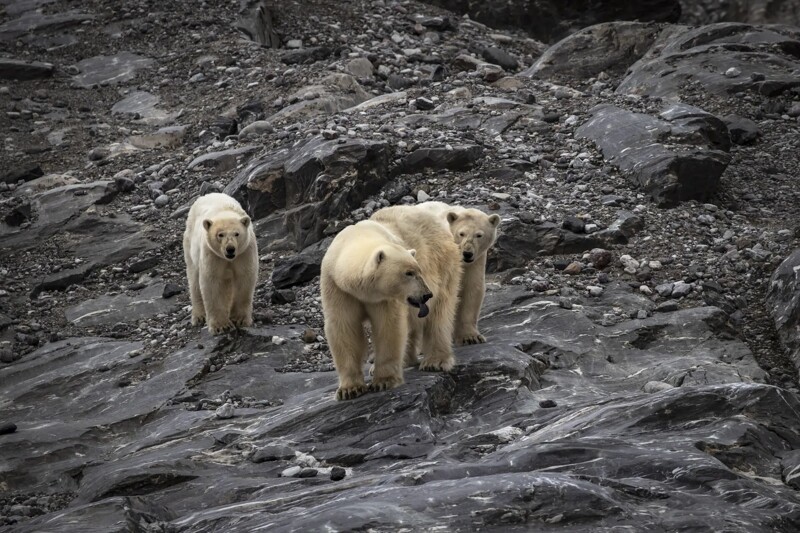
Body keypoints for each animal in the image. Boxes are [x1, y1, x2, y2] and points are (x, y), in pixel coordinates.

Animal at [183, 193, 258, 334]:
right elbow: (212, 283)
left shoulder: (244, 252)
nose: (230, 249)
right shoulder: (212, 254)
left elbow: (244, 278)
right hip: (190, 246)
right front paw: (221, 326)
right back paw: (199, 316)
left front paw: (239, 320)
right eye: (220, 235)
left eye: (237, 233)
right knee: (194, 280)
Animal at [320, 208, 462, 400]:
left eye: (418, 270)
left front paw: (384, 381)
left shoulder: (384, 297)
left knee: (439, 313)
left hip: (442, 263)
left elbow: (388, 326)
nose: (426, 294)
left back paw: (435, 361)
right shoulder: (337, 287)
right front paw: (349, 389)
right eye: (408, 273)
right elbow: (344, 327)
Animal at [412, 201, 500, 344]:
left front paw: (471, 337)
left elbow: (471, 289)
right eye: (461, 233)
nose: (467, 253)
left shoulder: (475, 262)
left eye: (479, 235)